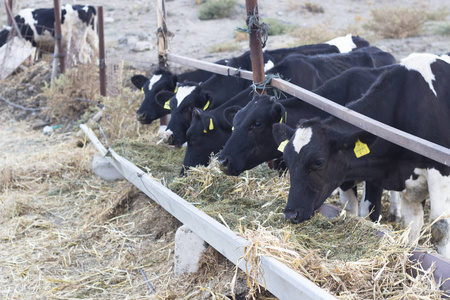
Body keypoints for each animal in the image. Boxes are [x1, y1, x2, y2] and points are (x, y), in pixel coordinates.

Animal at [272, 52, 450, 256]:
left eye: (318, 162)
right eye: (287, 160)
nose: (290, 213)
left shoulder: (440, 172)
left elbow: (440, 229)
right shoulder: (409, 185)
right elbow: (410, 227)